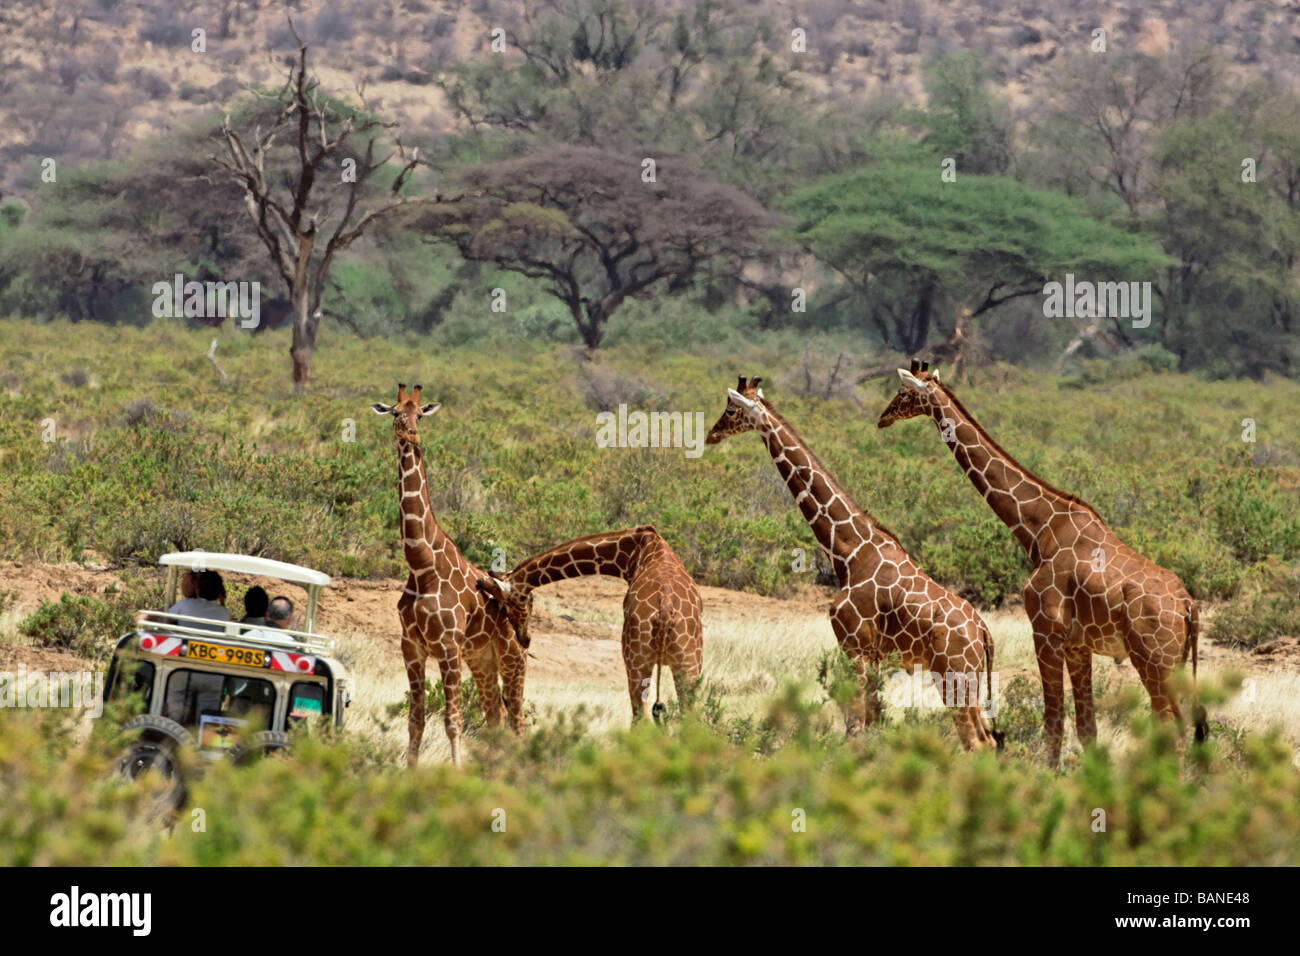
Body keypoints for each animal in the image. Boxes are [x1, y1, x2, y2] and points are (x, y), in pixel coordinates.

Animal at [369, 385, 525, 764]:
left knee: (518, 721)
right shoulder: (411, 646)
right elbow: (416, 720)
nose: (410, 433)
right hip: (482, 659)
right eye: (395, 412)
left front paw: (456, 772)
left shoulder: (448, 646)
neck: (421, 564)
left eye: (420, 414)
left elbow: (453, 721)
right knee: (496, 717)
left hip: (512, 657)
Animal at [475, 528, 702, 723]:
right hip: (686, 665)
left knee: (642, 717)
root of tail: (665, 608)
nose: (525, 639)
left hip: (637, 660)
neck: (633, 552)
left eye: (507, 606)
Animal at [707, 377, 998, 749]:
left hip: (953, 673)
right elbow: (873, 723)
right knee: (986, 739)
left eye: (731, 410)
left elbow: (854, 727)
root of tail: (983, 632)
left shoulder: (853, 643)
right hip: (968, 676)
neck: (849, 551)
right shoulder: (872, 654)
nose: (711, 434)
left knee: (976, 741)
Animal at [878, 361, 1201, 764]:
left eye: (903, 392)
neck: (1038, 530)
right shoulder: (1078, 646)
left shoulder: (1044, 631)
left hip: (1154, 660)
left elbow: (1053, 720)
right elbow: (1086, 726)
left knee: (1173, 726)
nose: (882, 417)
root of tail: (1188, 606)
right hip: (1174, 662)